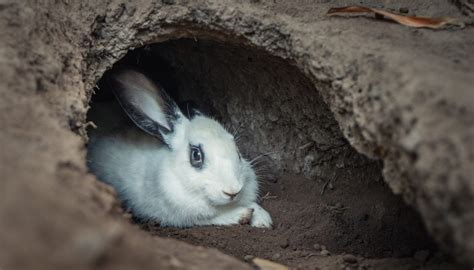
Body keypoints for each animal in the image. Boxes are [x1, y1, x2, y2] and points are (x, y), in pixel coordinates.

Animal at [86, 68, 272, 228]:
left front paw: (263, 219)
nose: (232, 191)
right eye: (196, 155)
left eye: (238, 151)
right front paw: (244, 214)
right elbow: (212, 217)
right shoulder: (181, 216)